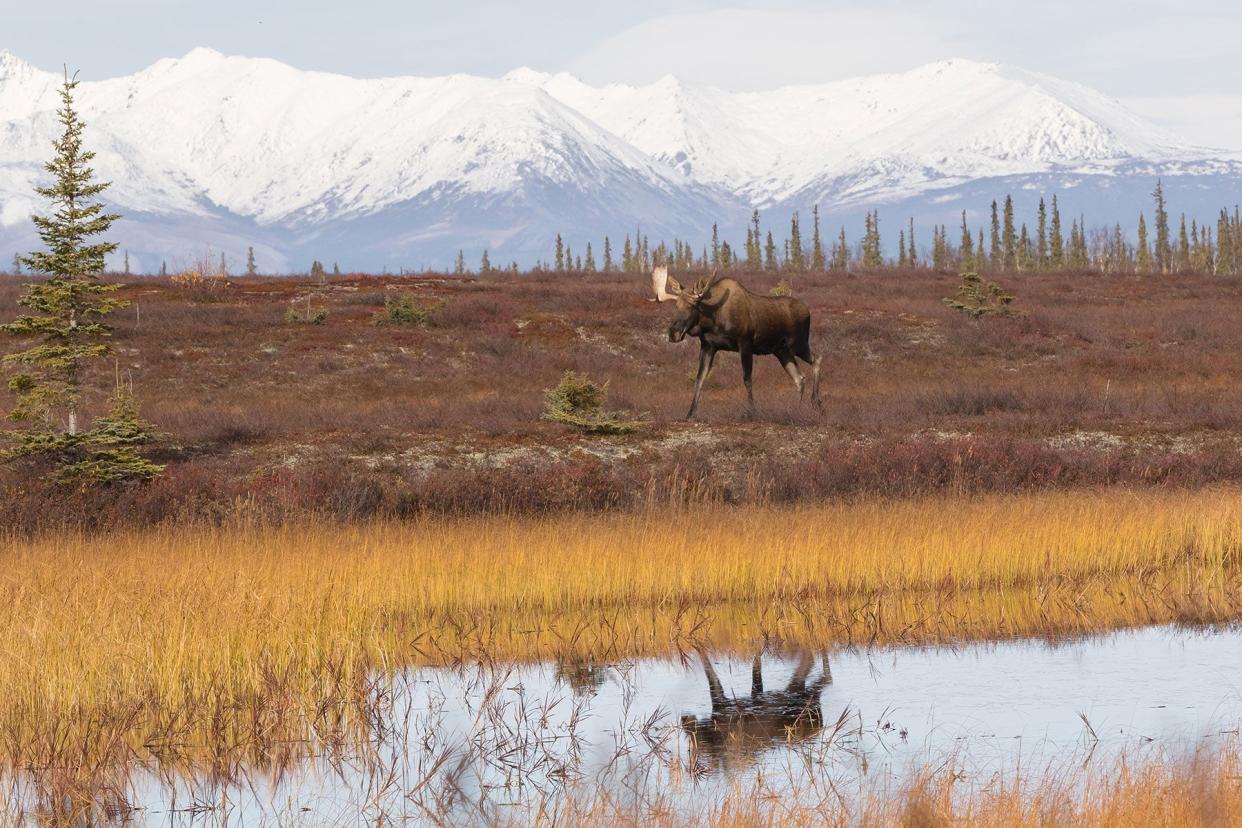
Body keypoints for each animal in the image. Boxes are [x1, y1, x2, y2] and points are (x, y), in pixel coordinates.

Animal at [650, 266, 824, 417]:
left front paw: (751, 411)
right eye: (676, 305)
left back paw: (816, 402)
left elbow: (747, 379)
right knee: (799, 378)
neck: (712, 321)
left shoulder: (745, 343)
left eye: (692, 306)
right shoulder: (708, 346)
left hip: (798, 344)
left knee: (817, 358)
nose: (673, 333)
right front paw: (690, 413)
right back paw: (796, 408)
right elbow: (699, 379)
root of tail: (808, 311)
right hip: (782, 351)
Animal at [680, 645, 834, 769]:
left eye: (693, 736)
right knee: (815, 666)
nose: (683, 718)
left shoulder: (724, 704)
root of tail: (819, 724)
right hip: (802, 694)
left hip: (800, 697)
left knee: (821, 672)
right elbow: (756, 667)